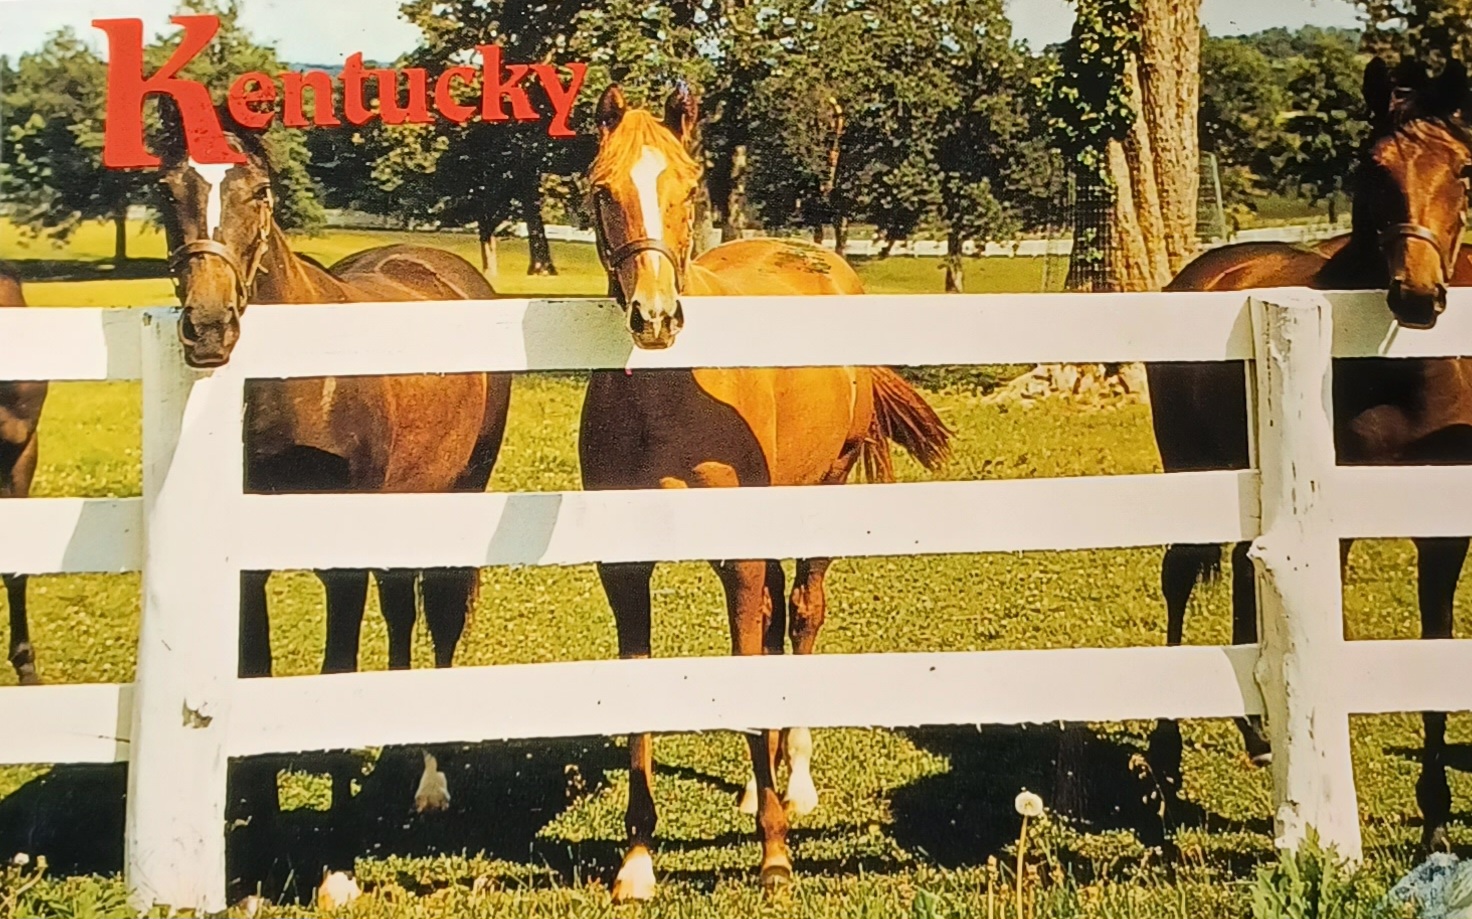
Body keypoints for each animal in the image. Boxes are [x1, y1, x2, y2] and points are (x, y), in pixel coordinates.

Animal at [149, 105, 513, 820]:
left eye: (259, 192)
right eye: (168, 190)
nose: (208, 327)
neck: (299, 386)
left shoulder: (340, 559)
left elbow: (335, 666)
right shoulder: (251, 563)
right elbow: (257, 664)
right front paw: (260, 811)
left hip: (459, 493)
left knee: (439, 618)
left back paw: (431, 779)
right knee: (401, 612)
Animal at [579, 84, 953, 900]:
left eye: (691, 188)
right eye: (602, 189)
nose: (656, 318)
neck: (669, 397)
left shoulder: (741, 558)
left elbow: (755, 668)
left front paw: (775, 855)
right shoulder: (624, 568)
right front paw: (637, 859)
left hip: (821, 497)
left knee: (804, 616)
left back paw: (795, 782)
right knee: (779, 625)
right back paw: (761, 787)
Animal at [1145, 56, 1472, 854]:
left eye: (1462, 169)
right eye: (1373, 167)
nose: (1418, 296)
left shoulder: (1444, 530)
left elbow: (1437, 643)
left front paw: (1435, 823)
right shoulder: (1335, 524)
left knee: (1241, 568)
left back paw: (1260, 730)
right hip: (1190, 473)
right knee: (1178, 581)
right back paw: (1165, 772)